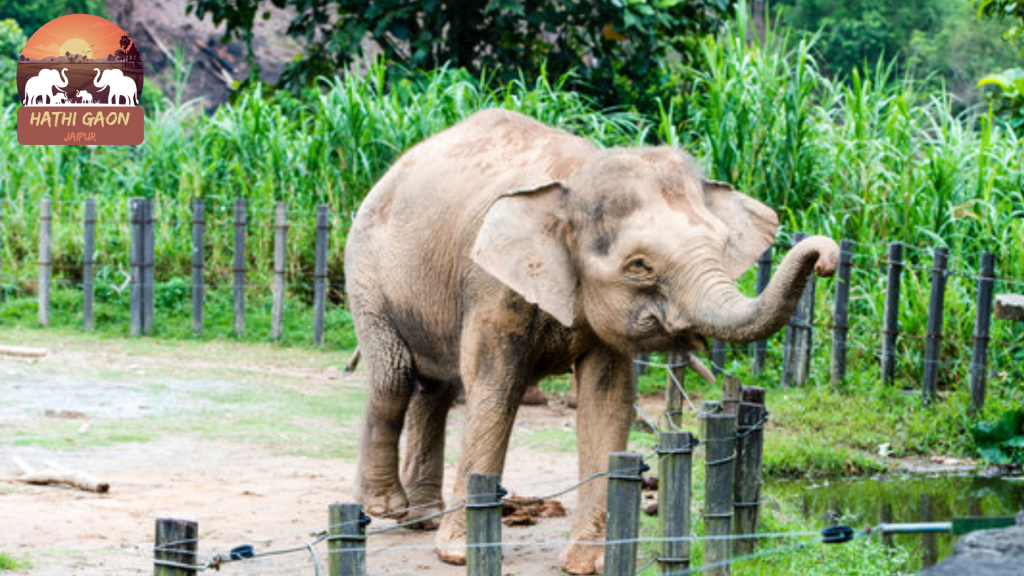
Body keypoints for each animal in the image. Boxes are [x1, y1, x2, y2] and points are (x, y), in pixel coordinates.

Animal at [344, 109, 839, 574]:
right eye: (639, 266)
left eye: (720, 247)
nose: (826, 259)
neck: (575, 178)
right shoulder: (490, 285)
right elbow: (495, 390)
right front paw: (458, 555)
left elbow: (608, 398)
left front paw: (590, 563)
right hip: (366, 272)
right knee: (396, 375)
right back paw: (387, 508)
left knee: (437, 389)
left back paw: (422, 518)